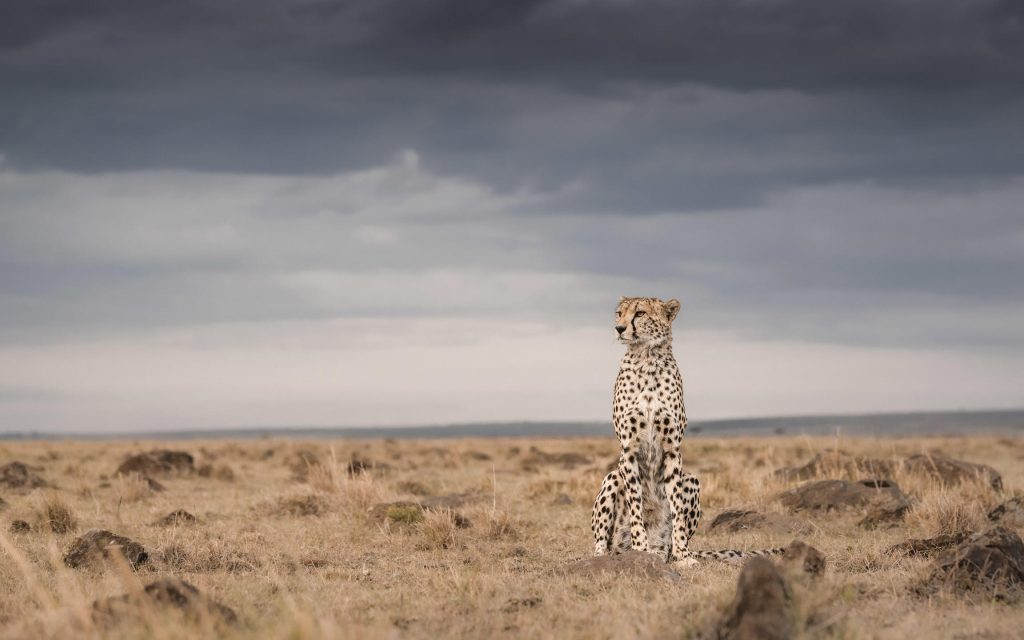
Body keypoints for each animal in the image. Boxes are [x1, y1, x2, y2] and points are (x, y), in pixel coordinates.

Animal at [593, 294, 782, 565]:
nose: (619, 328)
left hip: (691, 479)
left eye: (640, 313)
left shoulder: (673, 450)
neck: (646, 358)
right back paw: (611, 555)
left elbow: (677, 511)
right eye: (619, 313)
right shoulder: (628, 450)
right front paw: (641, 548)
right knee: (602, 541)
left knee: (667, 543)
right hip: (612, 479)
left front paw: (684, 556)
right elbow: (636, 507)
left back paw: (667, 553)